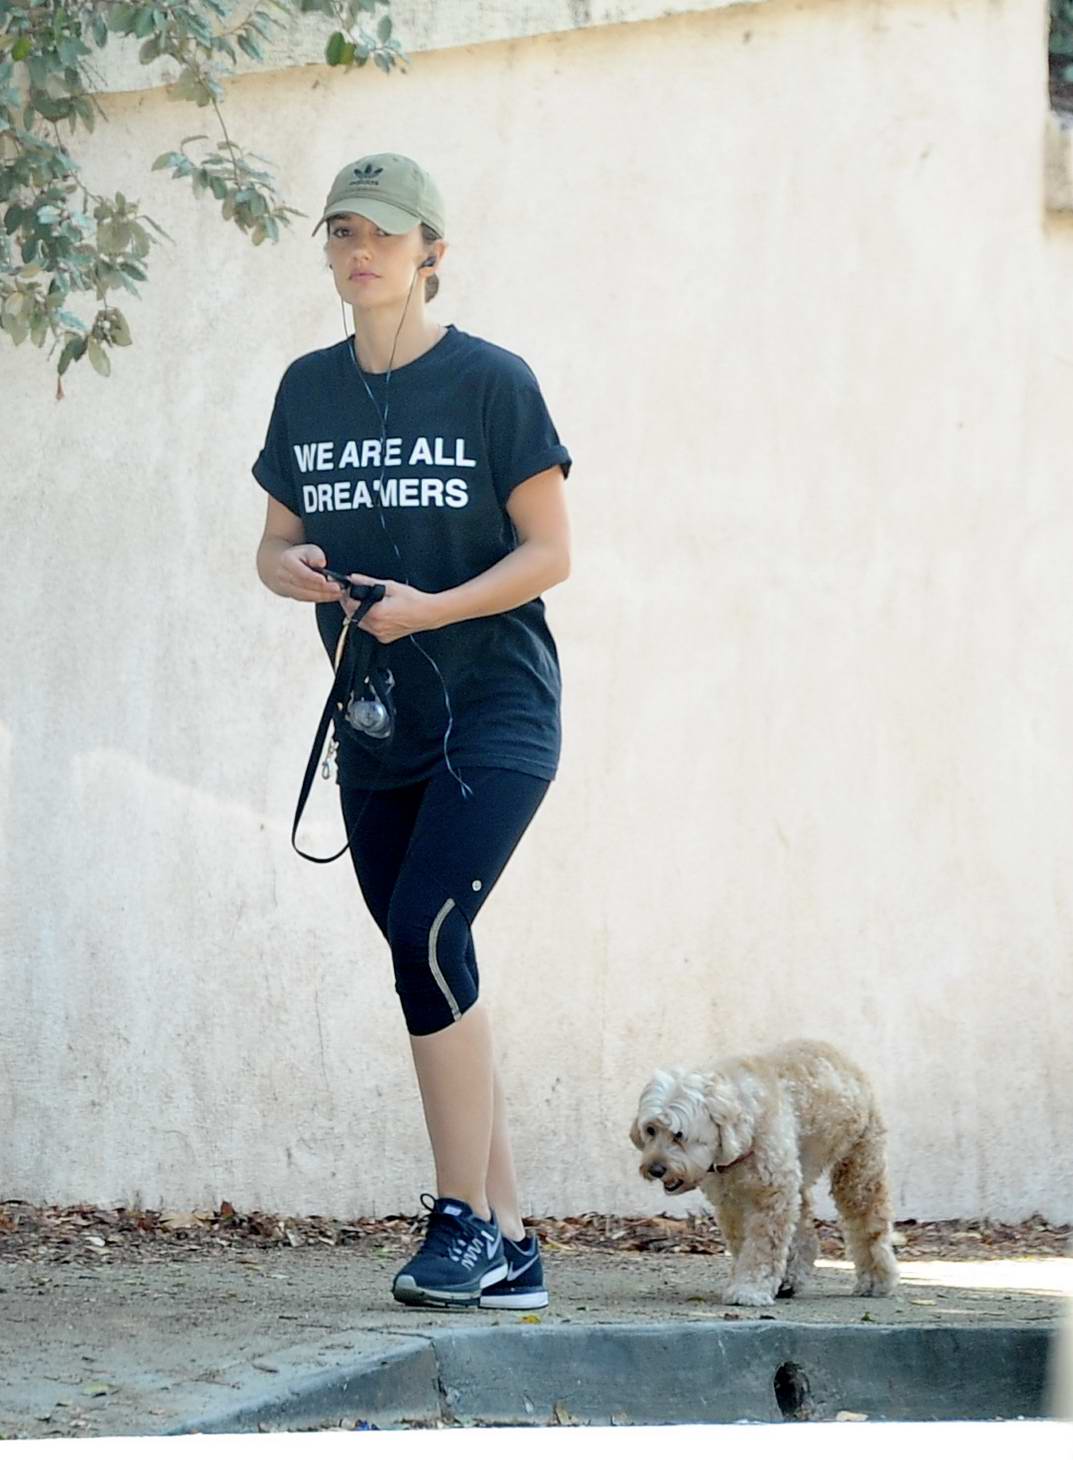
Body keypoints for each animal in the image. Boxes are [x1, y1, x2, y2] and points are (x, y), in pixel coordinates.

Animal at [630, 1039, 899, 1302]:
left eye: (679, 1135)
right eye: (651, 1130)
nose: (655, 1169)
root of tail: (847, 1062)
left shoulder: (772, 1197)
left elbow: (762, 1247)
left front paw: (749, 1289)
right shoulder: (732, 1203)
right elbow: (743, 1243)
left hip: (858, 1170)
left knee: (867, 1224)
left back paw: (876, 1279)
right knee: (805, 1232)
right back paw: (790, 1279)